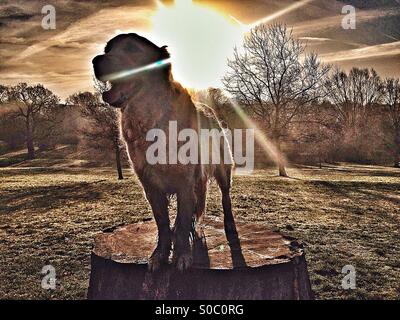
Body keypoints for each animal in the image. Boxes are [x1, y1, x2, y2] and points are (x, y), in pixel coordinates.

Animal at [92, 34, 236, 270]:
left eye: (131, 48)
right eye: (107, 49)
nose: (96, 61)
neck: (150, 118)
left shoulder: (186, 181)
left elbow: (184, 219)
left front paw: (182, 254)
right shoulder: (150, 186)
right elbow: (162, 222)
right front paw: (159, 253)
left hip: (223, 168)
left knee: (225, 197)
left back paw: (229, 224)